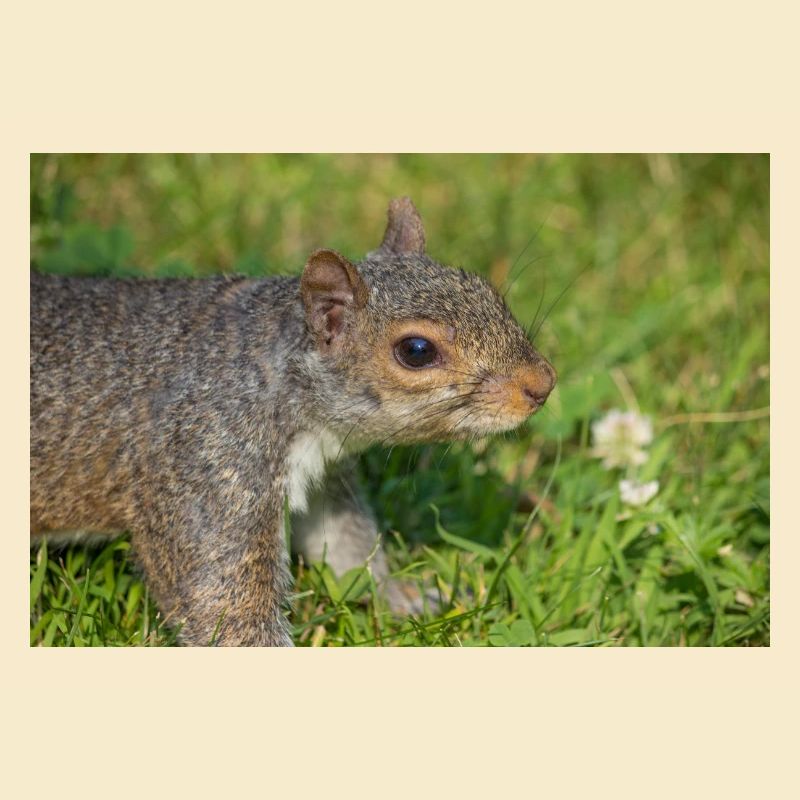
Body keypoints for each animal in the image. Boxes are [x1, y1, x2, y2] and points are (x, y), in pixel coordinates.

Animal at [30, 197, 556, 646]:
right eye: (416, 350)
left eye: (484, 288)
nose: (542, 384)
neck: (275, 372)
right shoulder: (204, 469)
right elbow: (221, 603)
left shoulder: (324, 476)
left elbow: (345, 547)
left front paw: (406, 598)